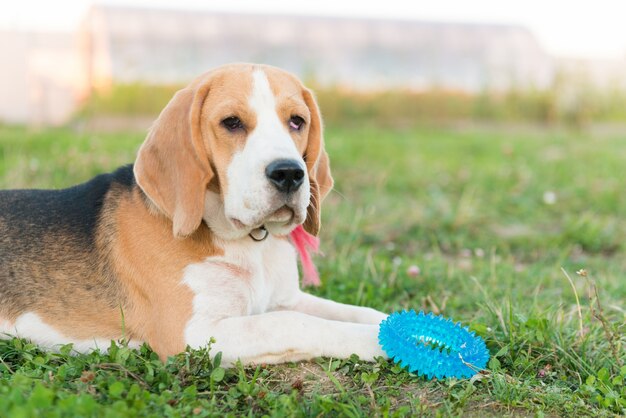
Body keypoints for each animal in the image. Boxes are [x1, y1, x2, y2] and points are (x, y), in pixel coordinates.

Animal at [0, 62, 386, 366]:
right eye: (231, 122)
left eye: (297, 121)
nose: (289, 173)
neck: (249, 243)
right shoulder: (194, 333)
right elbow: (294, 323)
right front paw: (381, 341)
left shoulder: (285, 299)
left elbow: (357, 311)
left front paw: (395, 323)